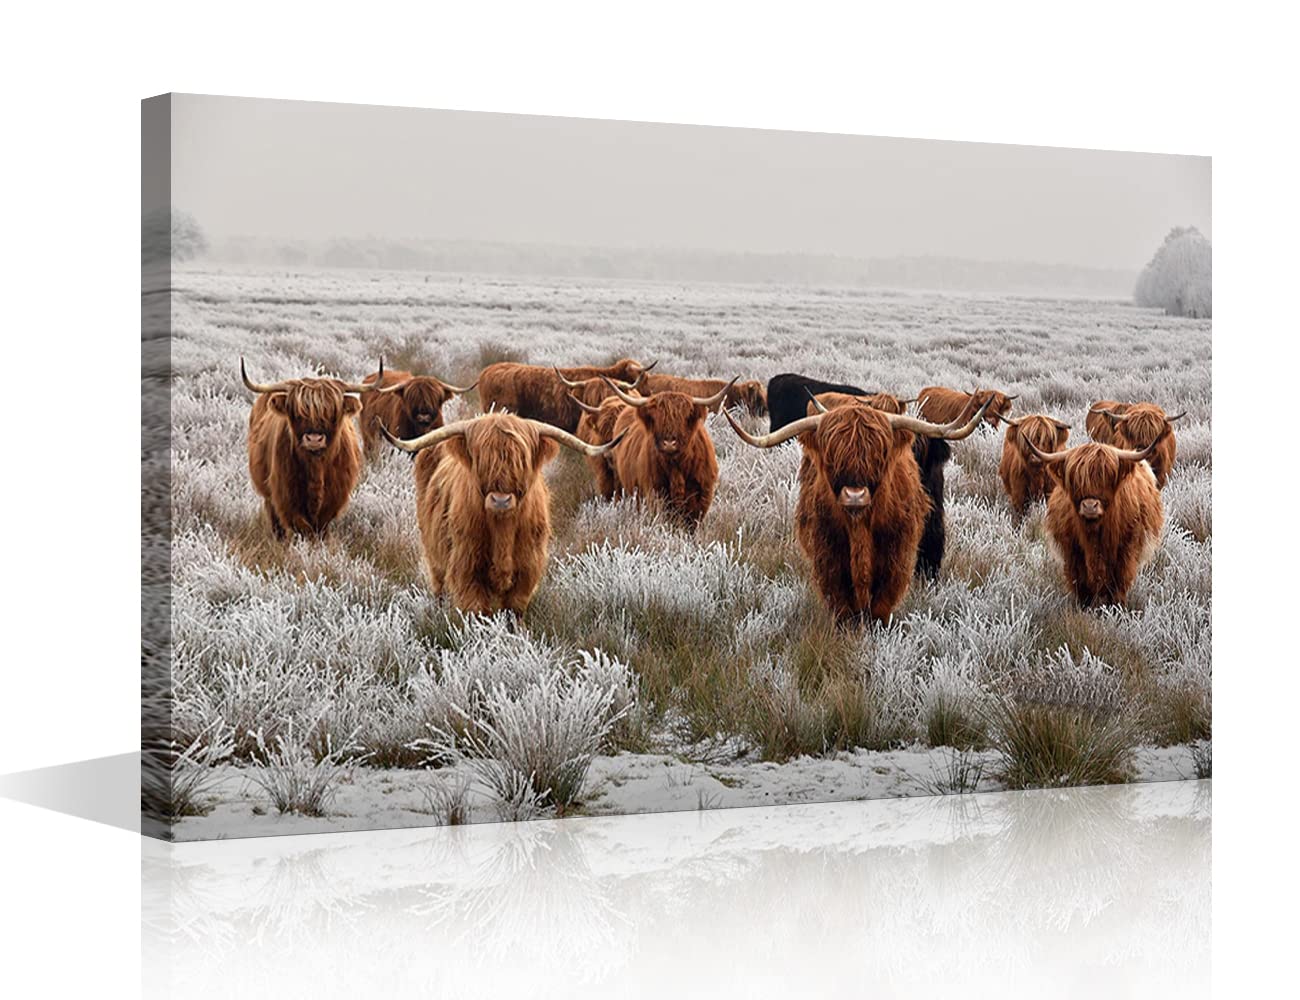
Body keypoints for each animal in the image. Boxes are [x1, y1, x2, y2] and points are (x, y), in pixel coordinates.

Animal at [241, 359, 375, 537]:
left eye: (333, 413)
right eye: (297, 413)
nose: (314, 439)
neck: (316, 467)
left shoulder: (333, 501)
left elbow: (319, 529)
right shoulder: (286, 497)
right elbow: (303, 528)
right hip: (269, 496)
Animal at [382, 413, 627, 615]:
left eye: (521, 460)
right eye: (481, 459)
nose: (501, 500)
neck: (502, 529)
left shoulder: (528, 568)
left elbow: (514, 609)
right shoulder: (466, 567)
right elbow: (477, 610)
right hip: (434, 555)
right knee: (439, 585)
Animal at [599, 376, 737, 529]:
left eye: (683, 418)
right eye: (656, 418)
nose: (669, 443)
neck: (676, 468)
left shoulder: (700, 498)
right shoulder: (655, 494)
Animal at [724, 398, 990, 624]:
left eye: (879, 454)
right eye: (832, 456)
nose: (854, 495)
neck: (859, 527)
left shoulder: (896, 554)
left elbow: (881, 601)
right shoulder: (828, 554)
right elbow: (842, 602)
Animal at [1025, 431, 1170, 607]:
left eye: (1107, 477)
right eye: (1075, 479)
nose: (1089, 506)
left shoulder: (1127, 549)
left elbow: (1119, 582)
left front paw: (1116, 607)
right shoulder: (1072, 552)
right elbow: (1081, 584)